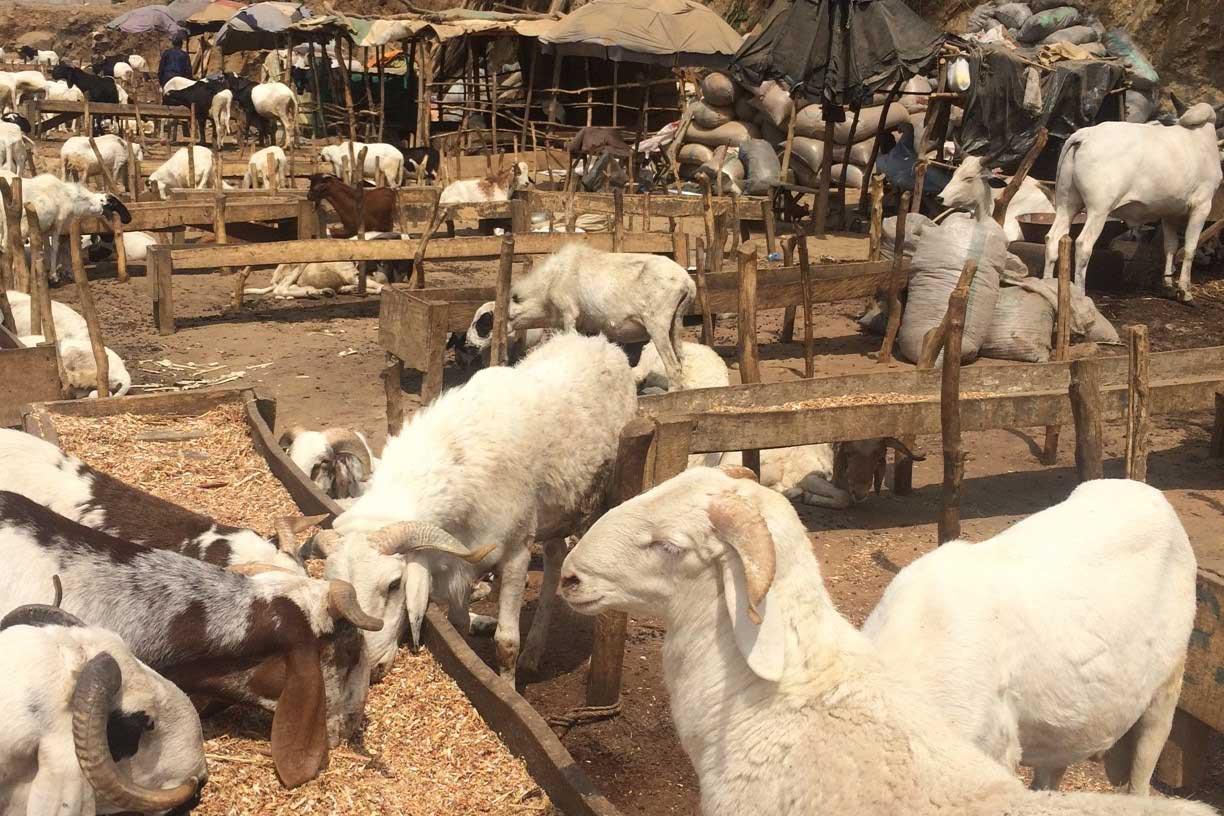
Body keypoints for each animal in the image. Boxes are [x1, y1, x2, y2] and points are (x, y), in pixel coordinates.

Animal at [242, 260, 387, 299]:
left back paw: (321, 291)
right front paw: (381, 288)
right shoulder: (349, 276)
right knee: (280, 290)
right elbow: (373, 284)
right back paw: (315, 292)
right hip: (298, 265)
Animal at [310, 333, 638, 681]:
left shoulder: (516, 551)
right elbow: (459, 623)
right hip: (556, 510)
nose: (369, 670)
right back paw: (534, 651)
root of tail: (600, 342)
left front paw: (507, 684)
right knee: (555, 557)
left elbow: (506, 644)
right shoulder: (459, 556)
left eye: (395, 584)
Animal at [508, 242, 696, 389]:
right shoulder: (584, 326)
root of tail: (688, 281)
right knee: (681, 361)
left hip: (657, 324)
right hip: (676, 323)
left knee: (673, 366)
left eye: (509, 316)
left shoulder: (569, 313)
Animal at [1043, 104, 1222, 301]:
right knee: (1083, 245)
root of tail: (1085, 134)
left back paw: (1046, 285)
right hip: (1099, 210)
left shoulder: (1169, 212)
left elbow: (1170, 246)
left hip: (1066, 204)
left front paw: (1168, 285)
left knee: (1053, 239)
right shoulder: (1202, 205)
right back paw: (1081, 295)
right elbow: (1190, 248)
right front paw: (1185, 291)